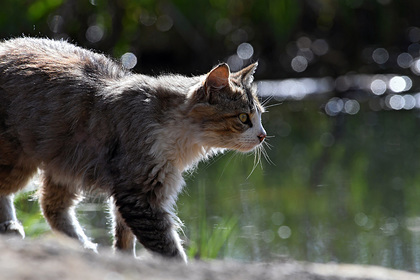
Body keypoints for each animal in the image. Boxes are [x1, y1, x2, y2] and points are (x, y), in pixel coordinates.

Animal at [0, 37, 266, 262]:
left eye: (260, 116)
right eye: (243, 118)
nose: (263, 135)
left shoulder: (133, 188)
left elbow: (124, 237)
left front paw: (125, 259)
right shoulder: (139, 193)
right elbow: (168, 248)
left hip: (65, 162)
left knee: (51, 205)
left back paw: (82, 246)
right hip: (19, 160)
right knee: (13, 192)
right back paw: (11, 226)